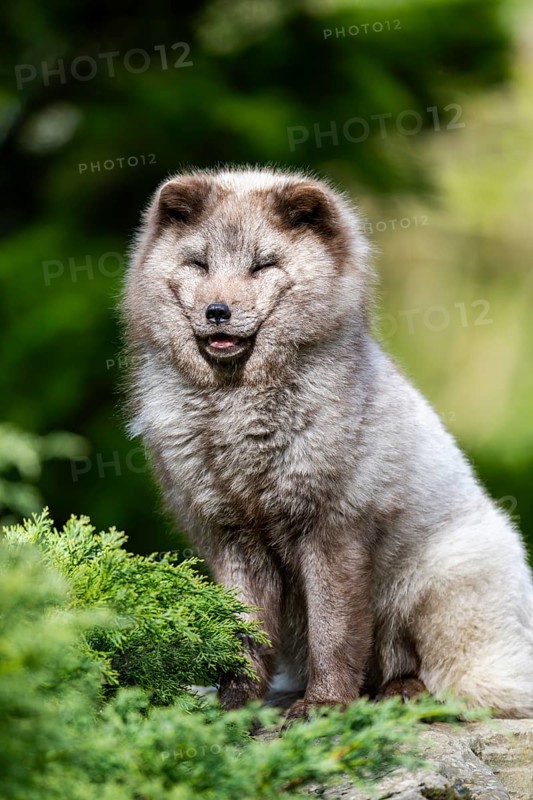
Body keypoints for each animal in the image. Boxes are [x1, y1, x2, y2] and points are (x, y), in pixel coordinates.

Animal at [122, 165, 533, 722]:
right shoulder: (231, 537)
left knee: (459, 685)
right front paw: (236, 705)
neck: (235, 413)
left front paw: (325, 704)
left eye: (263, 265)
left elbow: (334, 632)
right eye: (200, 263)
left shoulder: (333, 529)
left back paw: (404, 694)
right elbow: (242, 636)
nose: (217, 311)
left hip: (437, 584)